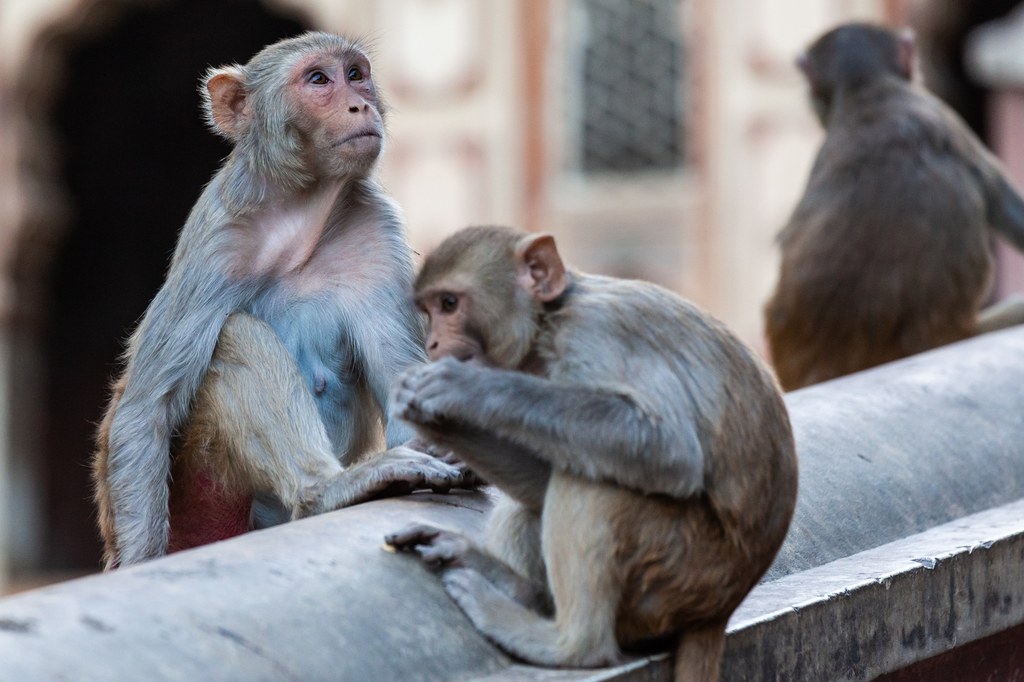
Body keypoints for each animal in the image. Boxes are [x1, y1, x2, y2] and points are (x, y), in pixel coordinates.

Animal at [92, 31, 471, 569]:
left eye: (355, 74)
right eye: (318, 79)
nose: (359, 104)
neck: (298, 213)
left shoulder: (377, 231)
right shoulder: (215, 242)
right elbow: (146, 410)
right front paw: (140, 565)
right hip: (203, 498)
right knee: (234, 335)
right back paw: (326, 490)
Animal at [385, 227, 798, 679]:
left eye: (449, 304)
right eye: (428, 310)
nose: (432, 343)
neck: (549, 322)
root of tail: (718, 610)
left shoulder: (595, 335)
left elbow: (668, 449)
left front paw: (463, 389)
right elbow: (550, 476)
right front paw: (435, 422)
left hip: (683, 569)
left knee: (599, 485)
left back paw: (570, 645)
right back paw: (517, 590)